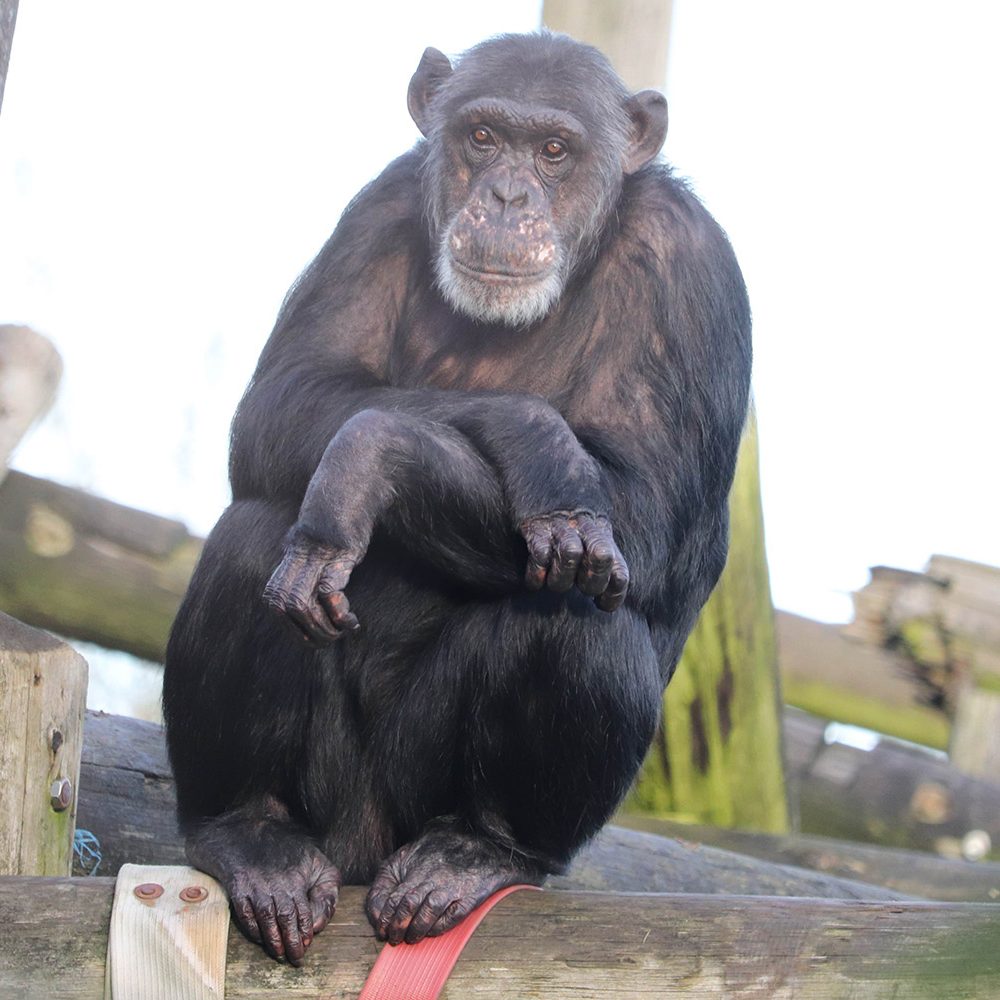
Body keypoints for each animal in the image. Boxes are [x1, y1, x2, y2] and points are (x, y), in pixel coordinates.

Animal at [162, 31, 752, 964]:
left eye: (554, 150)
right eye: (481, 136)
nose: (507, 194)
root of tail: (365, 850)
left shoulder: (690, 263)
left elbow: (648, 517)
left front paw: (391, 454)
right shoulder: (378, 205)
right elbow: (286, 396)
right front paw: (404, 454)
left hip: (415, 801)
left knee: (578, 608)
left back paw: (477, 851)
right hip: (333, 805)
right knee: (258, 533)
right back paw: (251, 837)